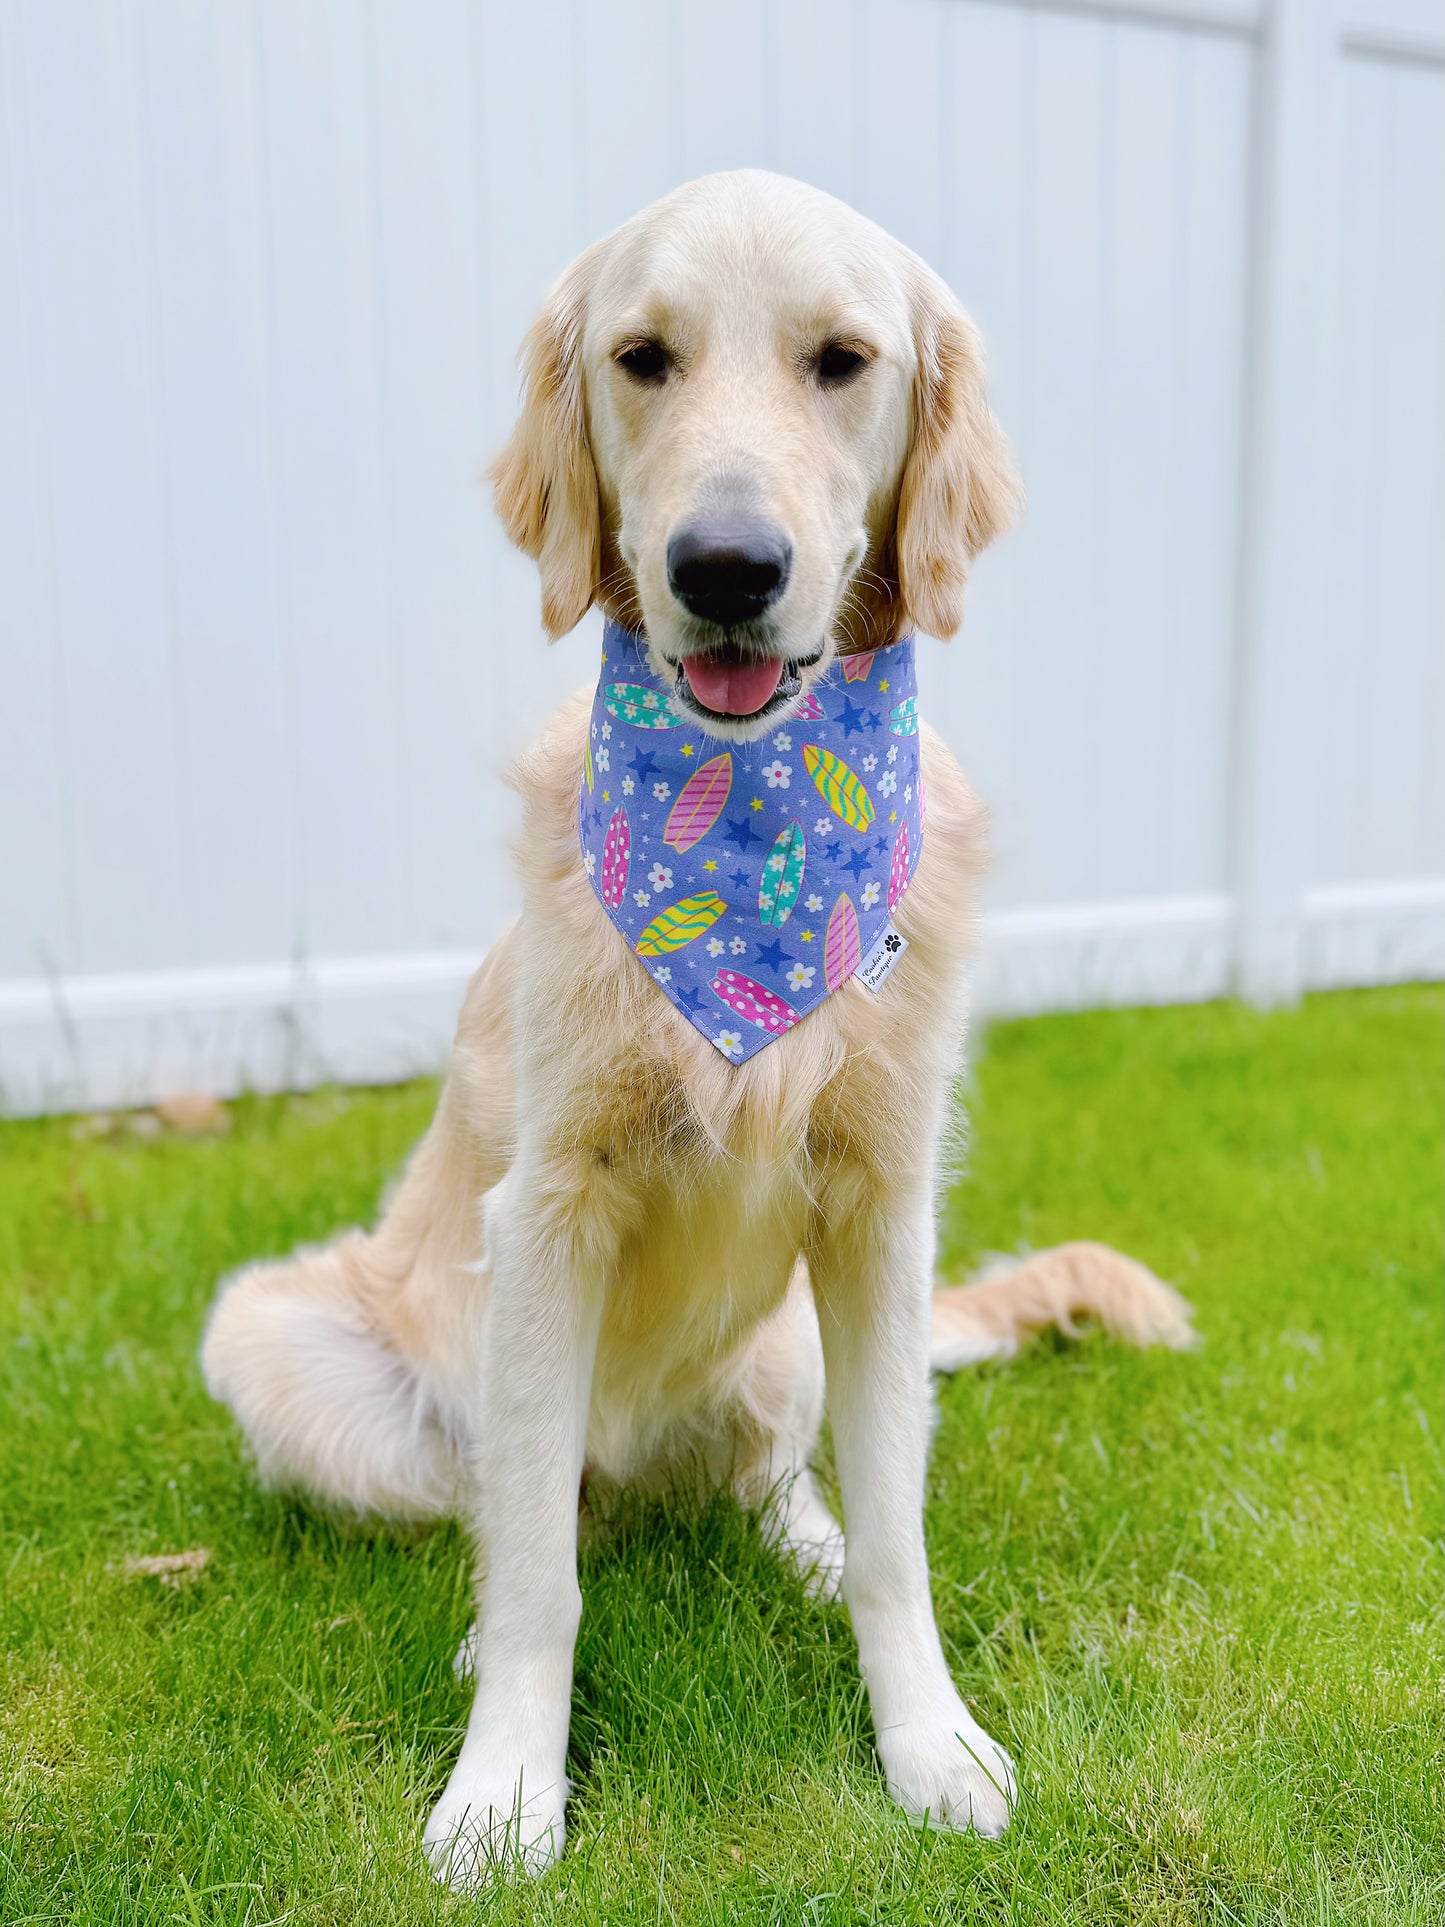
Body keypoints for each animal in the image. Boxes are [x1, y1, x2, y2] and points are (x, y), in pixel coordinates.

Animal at [204, 165, 1202, 1880]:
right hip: (283, 1338)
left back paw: (798, 1540)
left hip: (792, 1334)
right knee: (520, 1507)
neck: (749, 825)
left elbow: (897, 1533)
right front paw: (503, 1785)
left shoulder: (880, 1206)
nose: (723, 565)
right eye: (643, 358)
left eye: (843, 360)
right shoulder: (547, 1210)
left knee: (776, 1478)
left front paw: (926, 1740)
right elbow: (536, 1572)